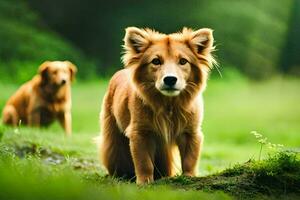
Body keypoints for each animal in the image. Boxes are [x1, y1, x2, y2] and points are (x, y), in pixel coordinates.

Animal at [100, 26, 216, 184]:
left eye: (183, 61)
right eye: (156, 61)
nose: (170, 79)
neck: (168, 104)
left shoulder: (191, 132)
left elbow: (189, 159)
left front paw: (189, 177)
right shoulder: (140, 133)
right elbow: (144, 162)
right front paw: (144, 181)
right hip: (114, 140)